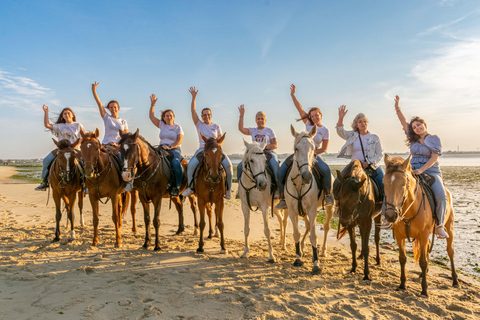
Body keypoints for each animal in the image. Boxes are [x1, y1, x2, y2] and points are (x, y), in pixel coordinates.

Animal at [284, 125, 334, 276]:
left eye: (313, 148)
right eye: (296, 148)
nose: (307, 176)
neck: (300, 184)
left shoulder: (312, 211)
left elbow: (314, 236)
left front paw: (316, 264)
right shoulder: (292, 211)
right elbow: (296, 233)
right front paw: (298, 258)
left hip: (329, 208)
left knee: (326, 227)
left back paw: (322, 251)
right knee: (306, 227)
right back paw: (302, 249)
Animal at [382, 155, 458, 298]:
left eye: (404, 184)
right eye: (384, 183)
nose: (390, 215)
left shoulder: (423, 235)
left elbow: (422, 261)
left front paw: (424, 290)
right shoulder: (400, 236)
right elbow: (402, 259)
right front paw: (402, 284)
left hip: (449, 228)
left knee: (450, 252)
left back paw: (455, 280)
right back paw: (424, 274)